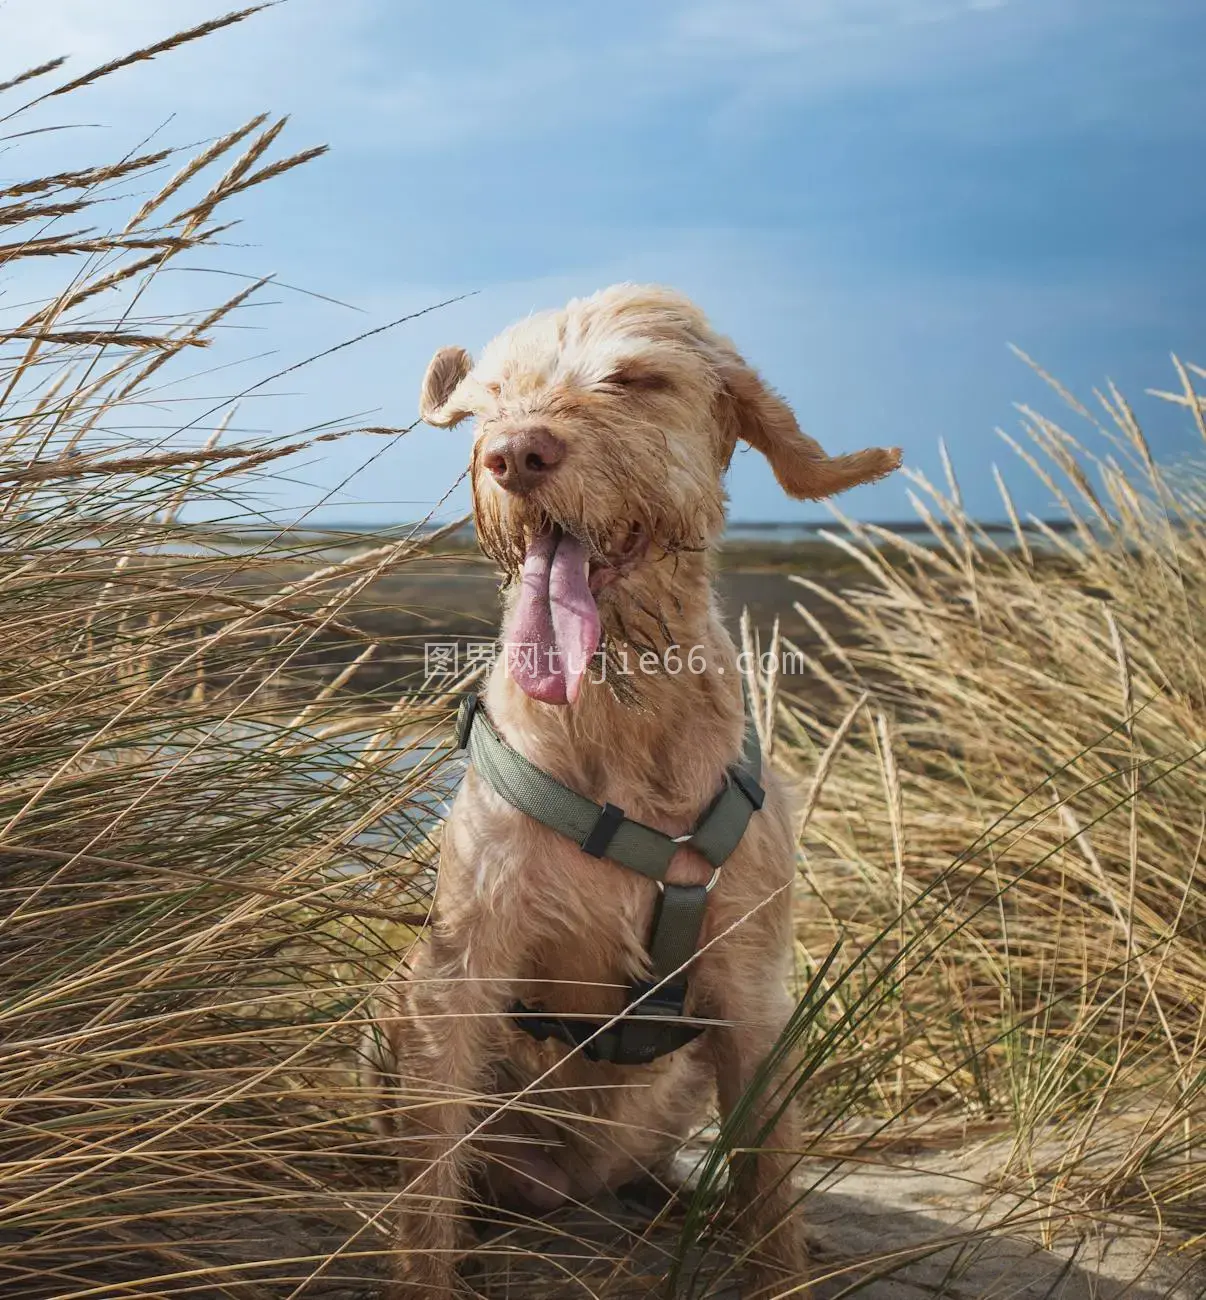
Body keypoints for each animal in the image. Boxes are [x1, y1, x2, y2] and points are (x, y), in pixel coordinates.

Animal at [371, 287, 899, 1300]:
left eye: (637, 379)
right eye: (494, 397)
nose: (514, 455)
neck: (618, 706)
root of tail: (563, 1188)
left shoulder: (753, 994)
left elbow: (771, 1179)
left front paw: (778, 1258)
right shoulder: (458, 971)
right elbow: (425, 1191)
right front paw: (427, 1270)